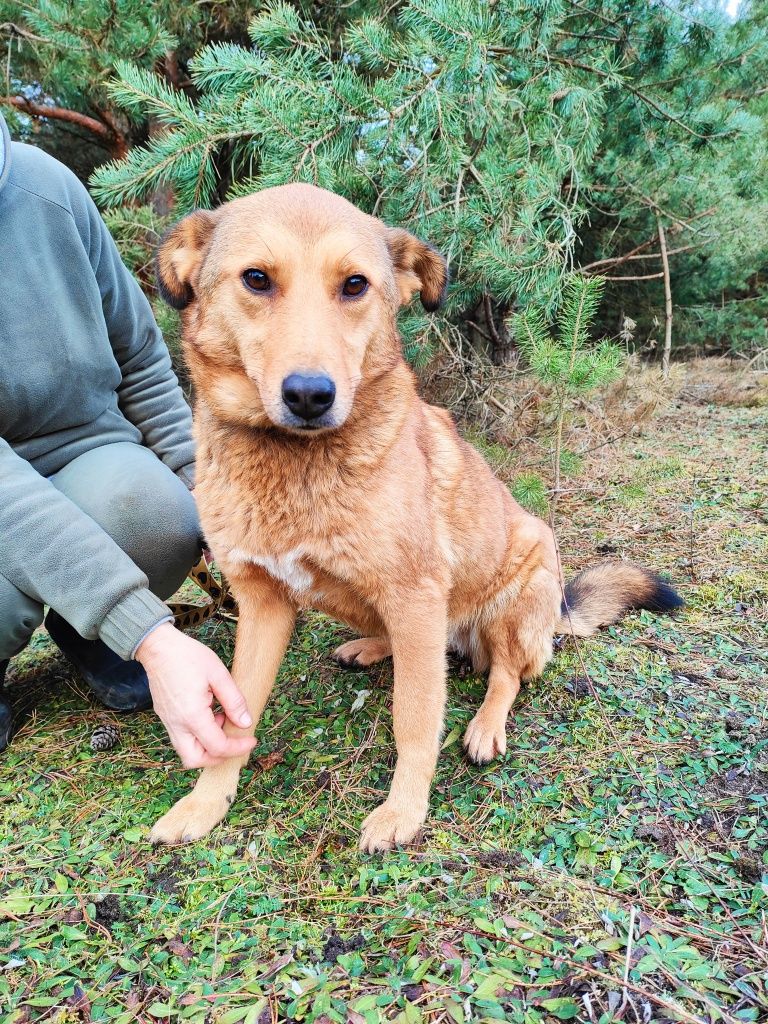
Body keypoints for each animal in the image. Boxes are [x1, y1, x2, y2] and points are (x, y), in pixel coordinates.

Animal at [150, 186, 684, 856]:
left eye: (355, 284)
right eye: (255, 279)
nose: (310, 395)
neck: (295, 463)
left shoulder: (413, 594)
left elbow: (415, 715)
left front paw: (404, 809)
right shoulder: (263, 604)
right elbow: (233, 716)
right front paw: (207, 802)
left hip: (518, 588)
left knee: (506, 674)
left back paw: (484, 725)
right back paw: (370, 647)